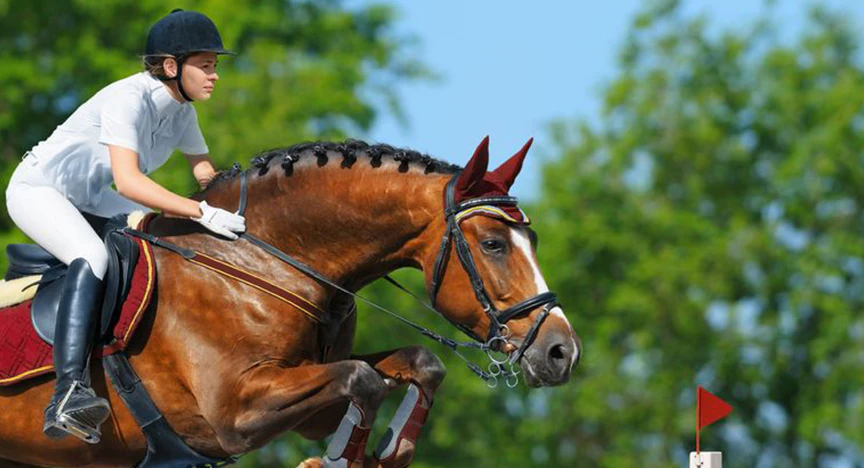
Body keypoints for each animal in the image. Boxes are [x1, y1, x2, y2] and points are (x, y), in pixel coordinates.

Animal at [0, 136, 581, 467]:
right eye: (494, 243)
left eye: (532, 240)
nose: (562, 353)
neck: (261, 260)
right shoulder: (234, 415)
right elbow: (364, 380)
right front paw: (340, 461)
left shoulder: (304, 404)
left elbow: (417, 364)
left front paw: (389, 451)